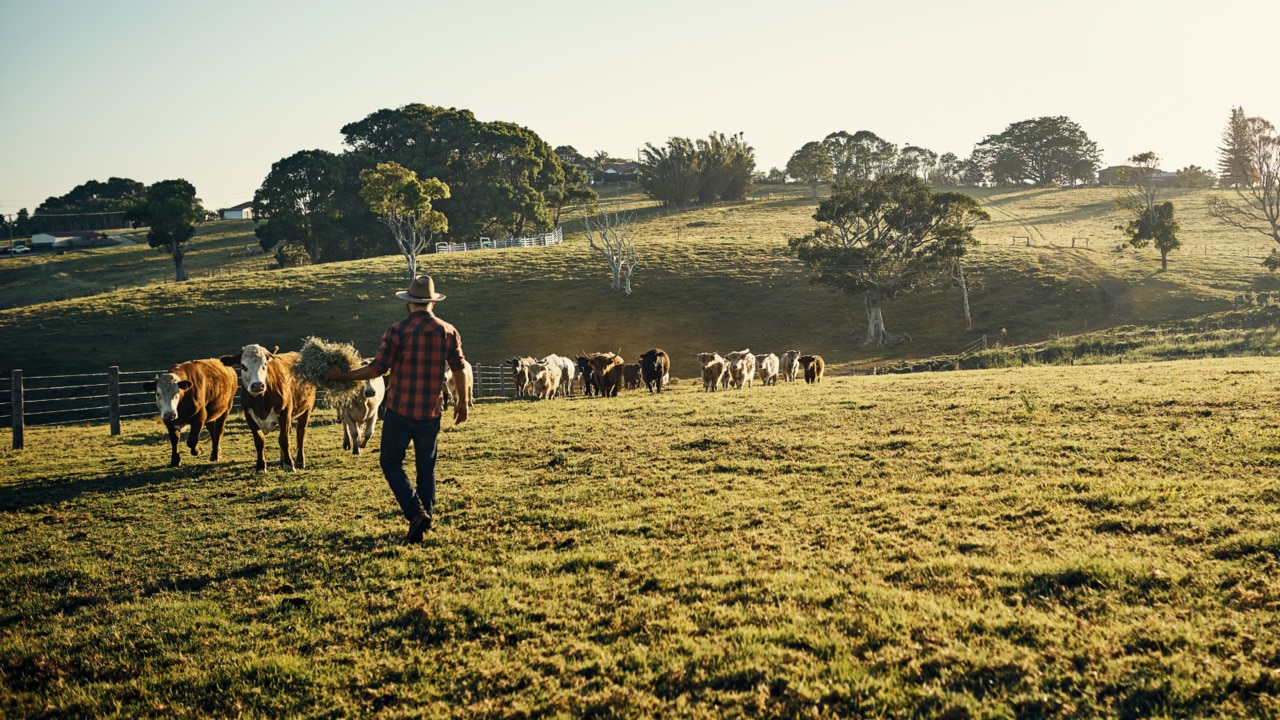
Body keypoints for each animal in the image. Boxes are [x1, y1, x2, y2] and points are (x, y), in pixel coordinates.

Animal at [221, 340, 318, 471]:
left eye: (265, 364)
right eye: (243, 366)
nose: (257, 385)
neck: (261, 401)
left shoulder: (285, 412)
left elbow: (283, 439)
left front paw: (289, 464)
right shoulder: (249, 415)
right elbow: (259, 441)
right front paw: (261, 466)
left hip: (307, 407)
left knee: (301, 433)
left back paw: (299, 461)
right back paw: (282, 461)